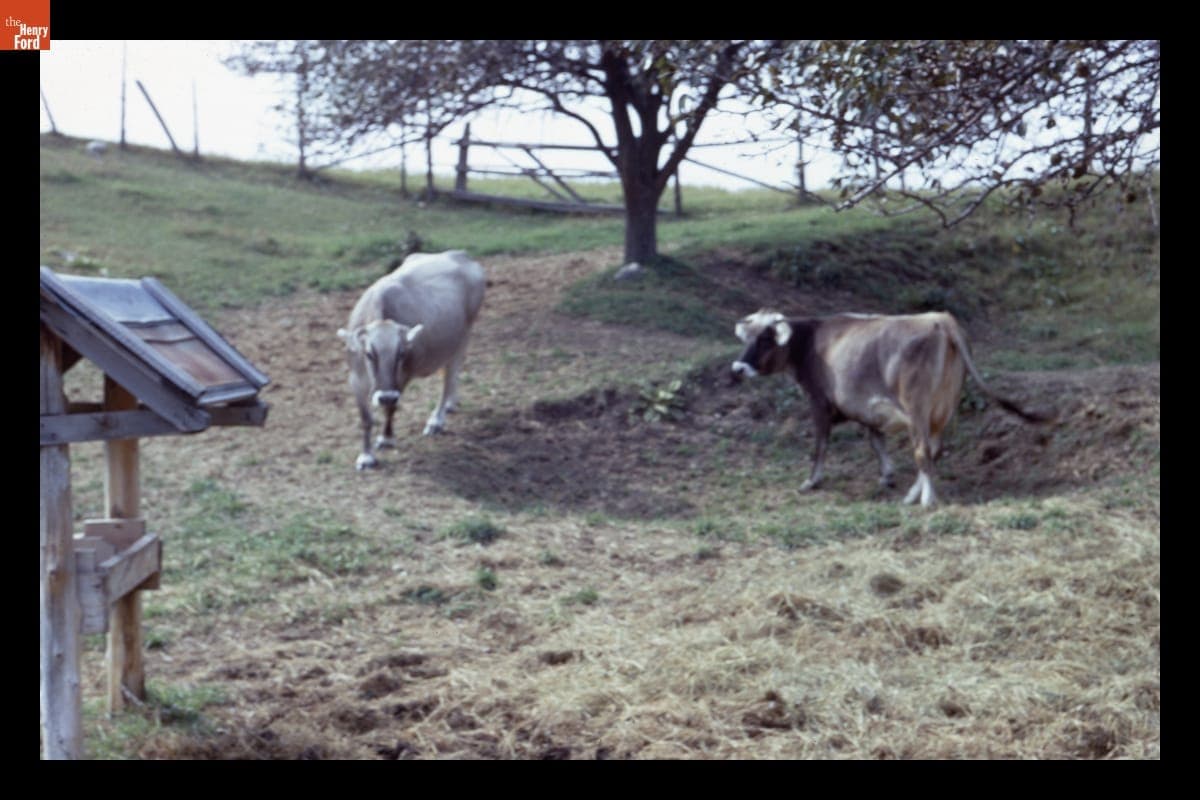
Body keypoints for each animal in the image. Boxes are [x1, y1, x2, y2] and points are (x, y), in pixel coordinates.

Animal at [337, 250, 486, 470]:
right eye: (369, 353)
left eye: (401, 353)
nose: (385, 396)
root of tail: (459, 254)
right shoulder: (355, 379)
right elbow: (366, 418)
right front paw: (366, 456)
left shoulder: (403, 376)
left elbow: (391, 408)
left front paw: (386, 438)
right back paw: (451, 403)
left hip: (462, 337)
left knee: (449, 377)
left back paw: (436, 419)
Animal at [730, 309, 1051, 507]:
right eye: (748, 338)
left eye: (764, 340)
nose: (737, 368)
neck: (810, 341)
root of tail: (941, 319)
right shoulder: (867, 408)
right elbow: (876, 440)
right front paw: (887, 475)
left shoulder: (819, 402)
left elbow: (820, 444)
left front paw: (811, 481)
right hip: (943, 408)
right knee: (934, 450)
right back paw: (912, 495)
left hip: (918, 408)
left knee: (922, 451)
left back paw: (926, 499)